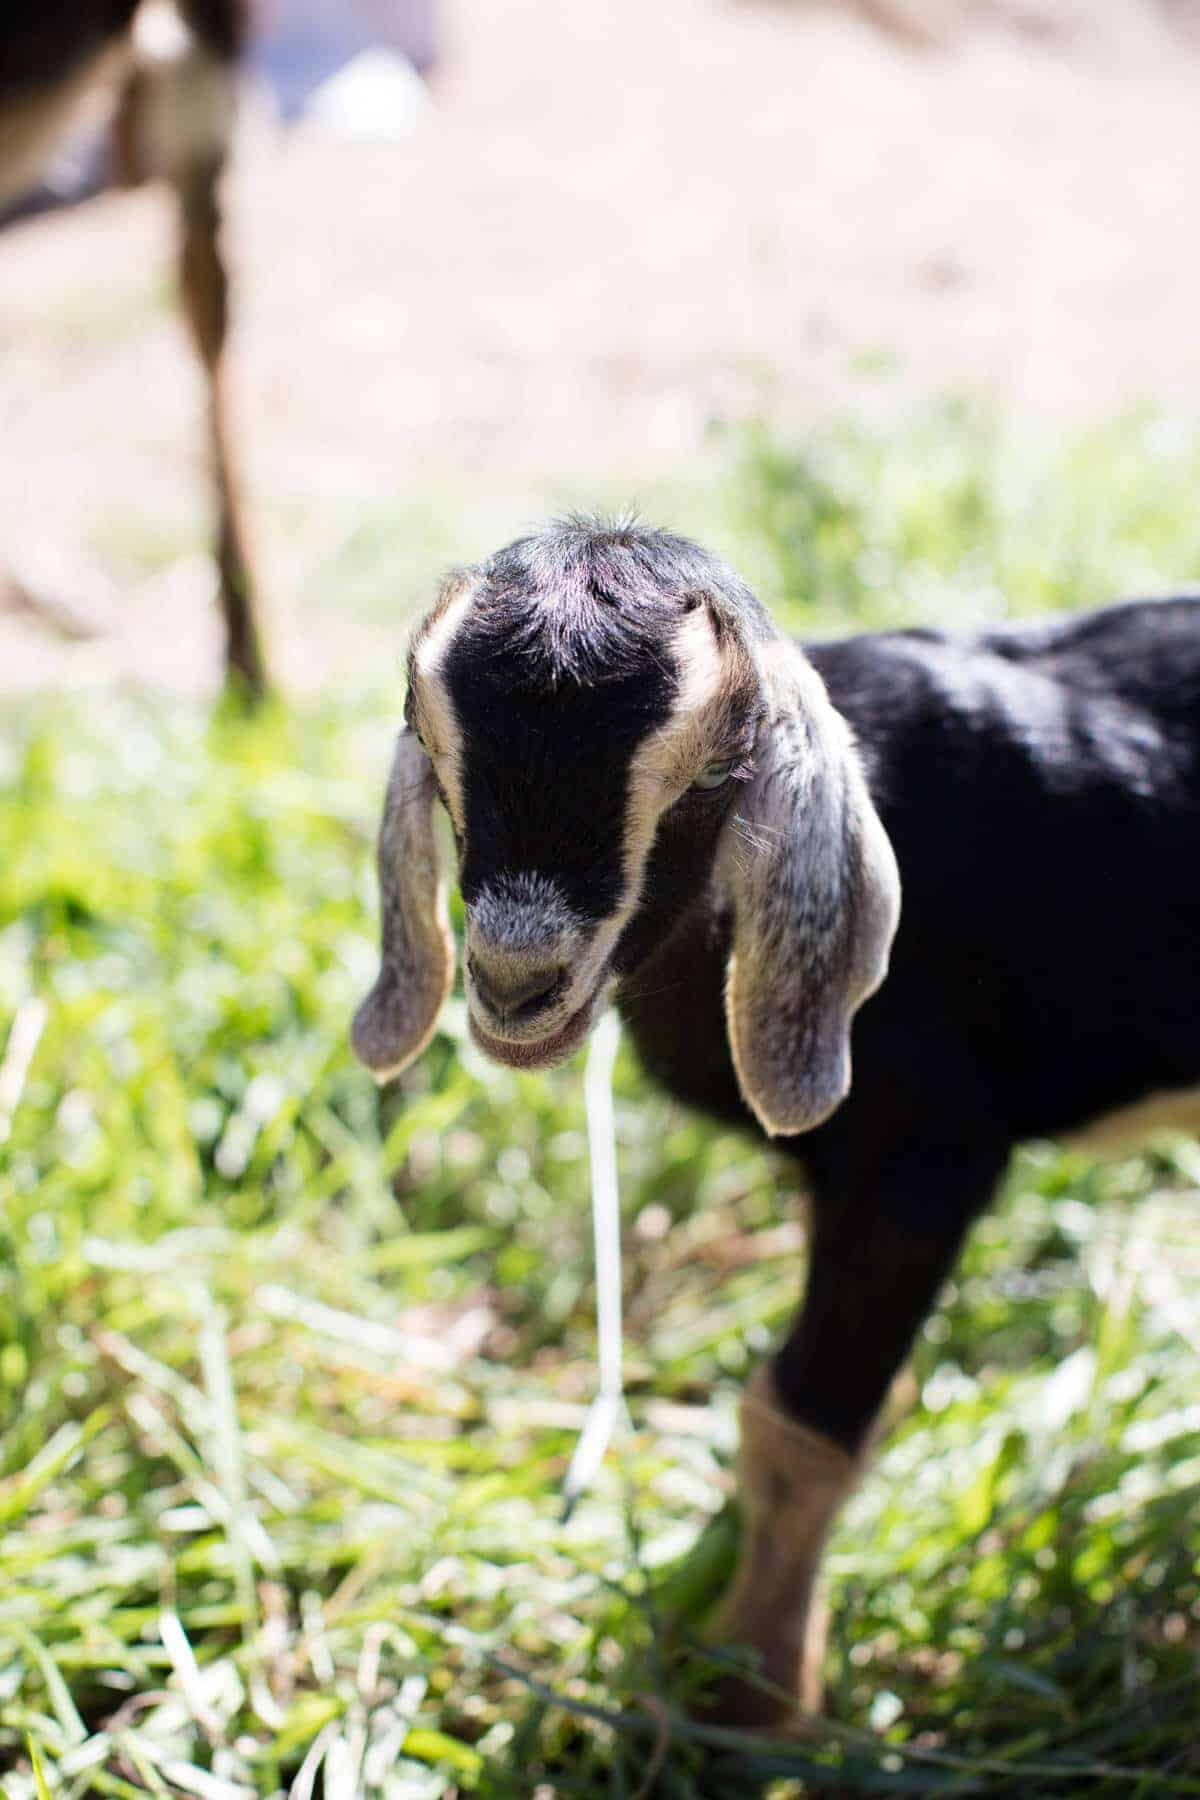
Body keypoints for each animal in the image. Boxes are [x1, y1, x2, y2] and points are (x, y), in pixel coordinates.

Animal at [352, 515, 1200, 1724]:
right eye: (427, 732)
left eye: (715, 769)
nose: (518, 985)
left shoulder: (922, 1157)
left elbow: (797, 1423)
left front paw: (750, 1693)